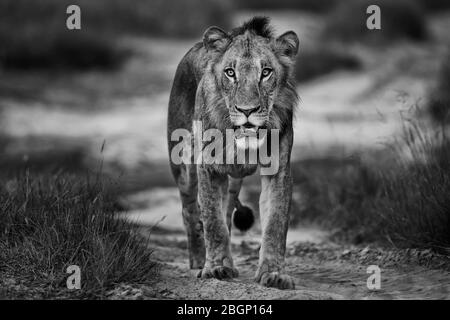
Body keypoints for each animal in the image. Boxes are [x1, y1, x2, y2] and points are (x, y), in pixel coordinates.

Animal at [168, 15, 298, 290]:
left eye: (266, 72)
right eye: (230, 72)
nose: (247, 110)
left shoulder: (279, 170)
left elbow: (275, 224)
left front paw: (273, 273)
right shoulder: (208, 167)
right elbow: (212, 221)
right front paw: (217, 268)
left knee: (227, 210)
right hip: (184, 167)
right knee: (190, 211)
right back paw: (198, 260)